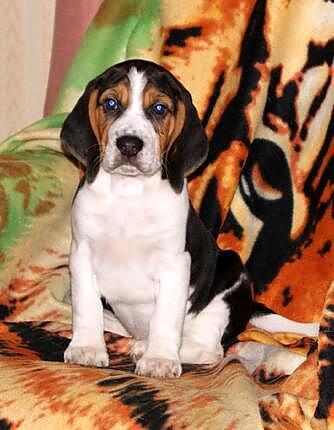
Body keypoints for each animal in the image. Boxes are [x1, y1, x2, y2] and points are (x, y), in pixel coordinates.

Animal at [61, 58, 320, 376]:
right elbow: (86, 307)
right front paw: (86, 347)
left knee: (210, 350)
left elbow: (166, 317)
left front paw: (159, 359)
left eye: (159, 108)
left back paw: (149, 348)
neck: (128, 192)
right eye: (110, 103)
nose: (130, 145)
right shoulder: (82, 254)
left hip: (230, 276)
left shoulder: (174, 264)